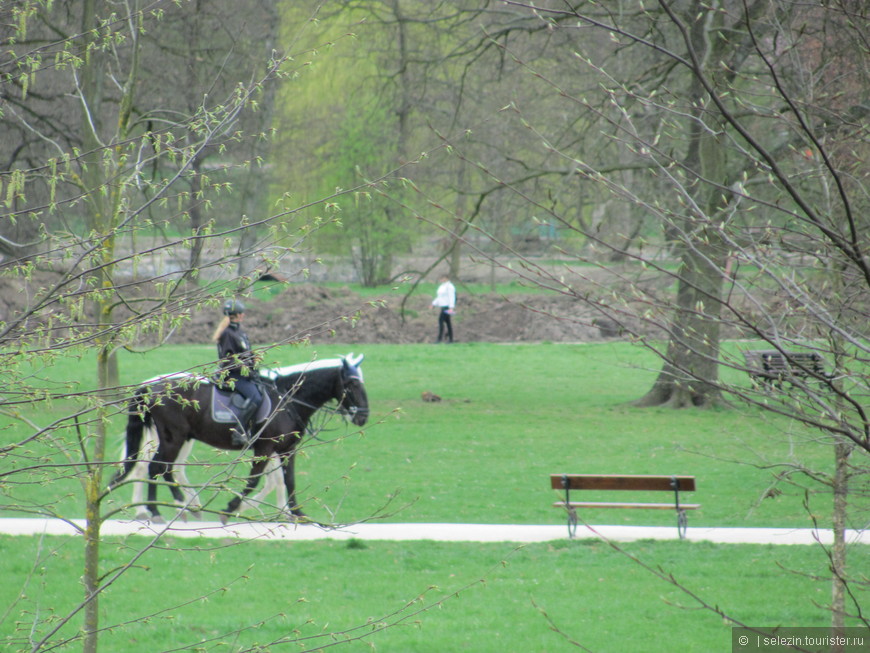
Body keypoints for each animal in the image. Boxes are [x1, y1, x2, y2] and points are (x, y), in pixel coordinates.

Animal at [109, 354, 368, 524]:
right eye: (352, 383)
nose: (363, 416)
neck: (286, 399)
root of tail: (151, 386)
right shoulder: (264, 447)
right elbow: (256, 481)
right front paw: (234, 508)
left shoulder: (287, 449)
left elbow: (288, 480)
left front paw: (296, 513)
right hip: (173, 437)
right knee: (156, 468)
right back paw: (162, 510)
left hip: (177, 438)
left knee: (163, 469)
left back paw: (178, 507)